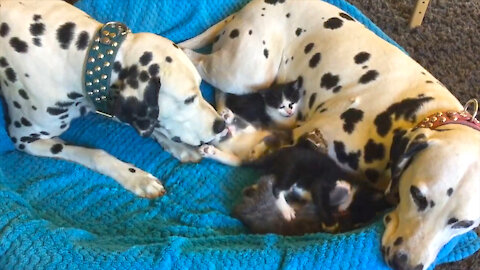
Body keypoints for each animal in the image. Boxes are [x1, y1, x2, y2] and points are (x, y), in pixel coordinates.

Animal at [0, 0, 228, 198]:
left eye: (200, 87)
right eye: (188, 99)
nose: (221, 125)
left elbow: (152, 126)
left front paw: (180, 147)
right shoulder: (24, 140)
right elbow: (95, 153)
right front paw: (137, 178)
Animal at [180, 0, 480, 270]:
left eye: (464, 224)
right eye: (417, 195)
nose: (403, 263)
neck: (421, 111)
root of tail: (251, 6)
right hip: (245, 74)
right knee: (194, 60)